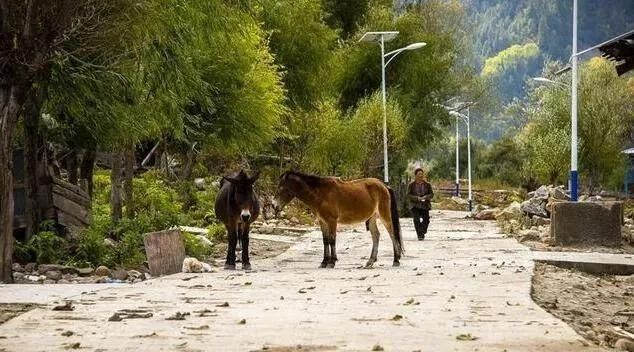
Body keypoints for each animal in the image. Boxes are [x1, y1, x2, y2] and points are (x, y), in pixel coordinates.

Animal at [272, 170, 400, 266]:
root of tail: (384, 185)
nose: (273, 205)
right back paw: (370, 261)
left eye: (281, 187)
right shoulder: (322, 222)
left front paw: (332, 262)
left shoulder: (332, 221)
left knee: (392, 234)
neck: (321, 194)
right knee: (376, 236)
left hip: (384, 215)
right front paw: (324, 262)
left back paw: (396, 260)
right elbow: (325, 240)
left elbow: (332, 240)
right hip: (372, 217)